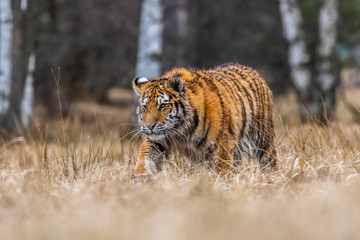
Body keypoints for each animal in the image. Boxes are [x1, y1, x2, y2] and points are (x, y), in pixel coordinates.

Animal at [134, 62, 278, 174]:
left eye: (163, 106)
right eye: (145, 107)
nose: (149, 126)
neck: (181, 130)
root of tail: (253, 71)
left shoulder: (222, 144)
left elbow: (221, 168)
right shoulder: (158, 140)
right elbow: (145, 154)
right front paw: (141, 175)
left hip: (263, 139)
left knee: (270, 161)